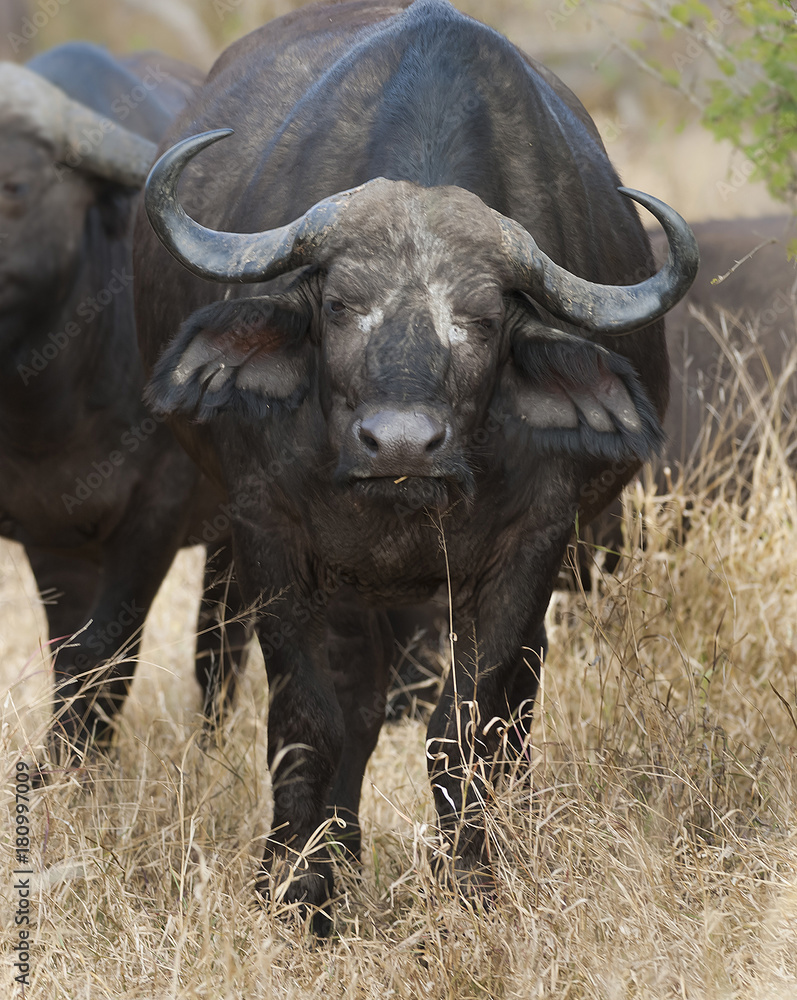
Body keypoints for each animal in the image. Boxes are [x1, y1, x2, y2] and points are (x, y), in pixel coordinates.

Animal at [0, 43, 251, 764]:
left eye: (14, 186)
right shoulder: (48, 533)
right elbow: (72, 661)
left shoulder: (154, 519)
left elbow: (109, 658)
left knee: (221, 643)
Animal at [134, 0, 698, 929]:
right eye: (337, 304)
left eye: (482, 319)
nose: (398, 444)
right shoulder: (268, 530)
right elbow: (310, 721)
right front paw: (298, 895)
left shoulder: (531, 545)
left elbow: (463, 732)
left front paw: (472, 889)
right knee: (357, 709)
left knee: (515, 711)